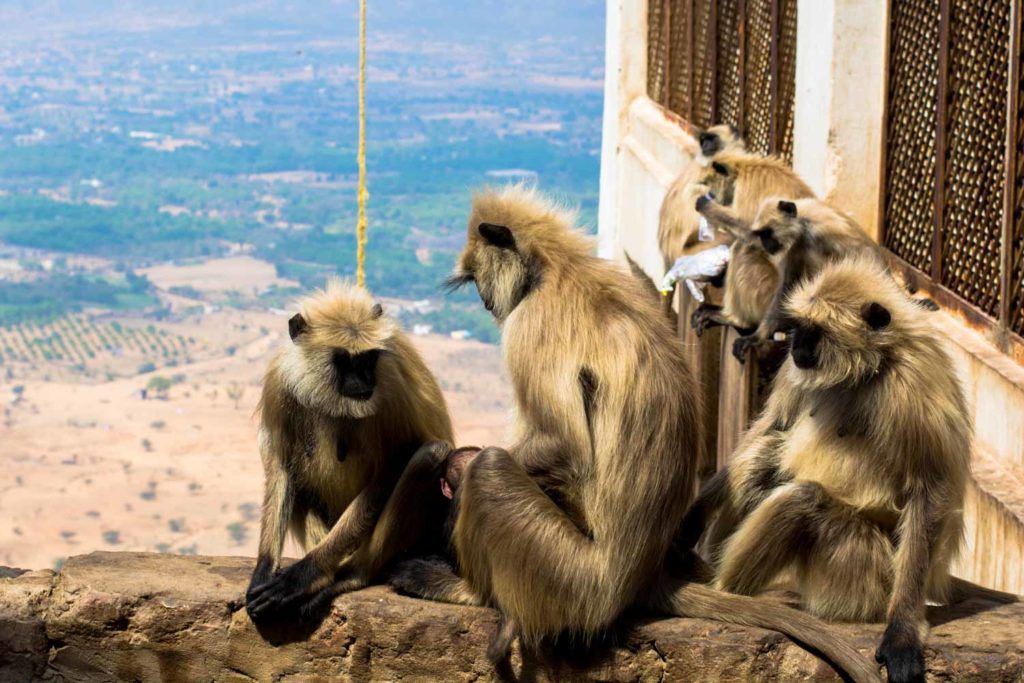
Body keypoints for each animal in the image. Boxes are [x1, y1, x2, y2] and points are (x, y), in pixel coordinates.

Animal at [245, 279, 454, 621]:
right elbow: (281, 464)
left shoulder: (390, 380)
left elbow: (396, 462)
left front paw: (302, 575)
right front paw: (264, 570)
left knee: (431, 453)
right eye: (344, 361)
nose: (363, 381)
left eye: (368, 359)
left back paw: (349, 575)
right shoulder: (281, 380)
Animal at [389, 185, 881, 683]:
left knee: (489, 468)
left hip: (570, 576)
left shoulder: (532, 322)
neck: (558, 268)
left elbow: (561, 445)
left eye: (477, 279)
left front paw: (454, 474)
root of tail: (640, 575)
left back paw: (470, 589)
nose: (487, 301)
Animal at [679, 255, 971, 683]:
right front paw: (691, 520)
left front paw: (902, 632)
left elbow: (928, 490)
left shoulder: (912, 382)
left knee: (802, 499)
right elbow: (774, 427)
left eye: (814, 332)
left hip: (865, 573)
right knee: (763, 458)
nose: (796, 345)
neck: (874, 365)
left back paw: (721, 588)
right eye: (798, 329)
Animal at [687, 151, 816, 340]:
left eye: (711, 184)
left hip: (769, 294)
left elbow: (752, 234)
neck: (745, 168)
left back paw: (736, 320)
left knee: (743, 248)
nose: (711, 194)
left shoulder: (747, 186)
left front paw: (705, 206)